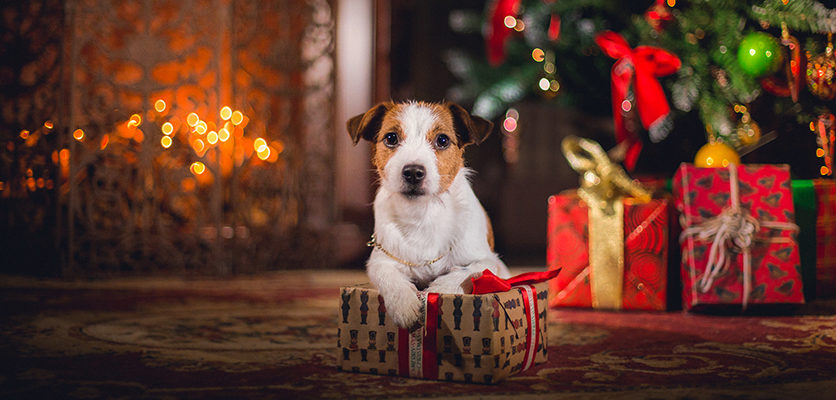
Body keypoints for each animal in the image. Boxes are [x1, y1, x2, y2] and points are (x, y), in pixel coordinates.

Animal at [346, 101, 510, 330]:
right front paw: (404, 304)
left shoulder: (486, 260)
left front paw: (437, 291)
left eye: (442, 140)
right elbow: (388, 276)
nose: (413, 172)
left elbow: (467, 272)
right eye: (391, 138)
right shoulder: (380, 261)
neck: (422, 215)